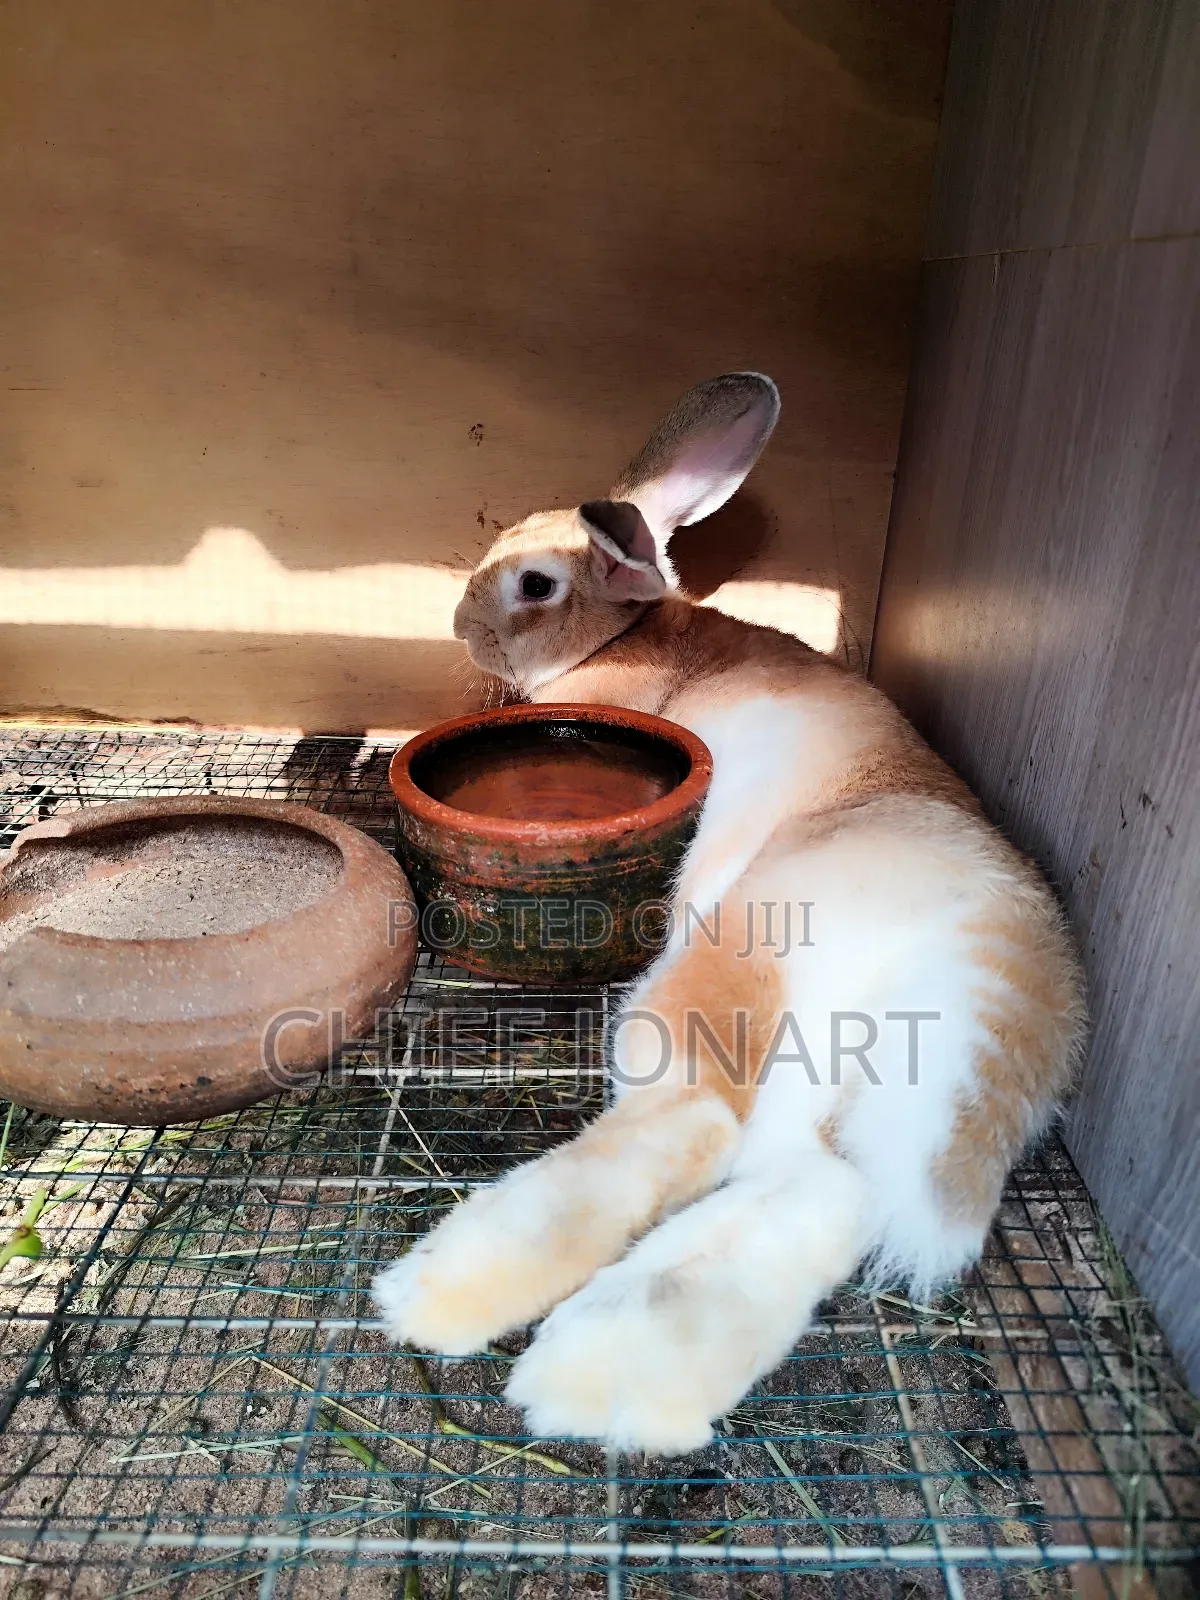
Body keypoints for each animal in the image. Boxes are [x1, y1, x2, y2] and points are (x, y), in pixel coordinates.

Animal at [374, 373, 1086, 1455]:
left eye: (532, 583)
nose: (461, 628)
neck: (626, 629)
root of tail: (1000, 953)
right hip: (838, 1076)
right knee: (819, 1187)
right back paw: (616, 1370)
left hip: (736, 962)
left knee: (694, 1116)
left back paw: (445, 1296)